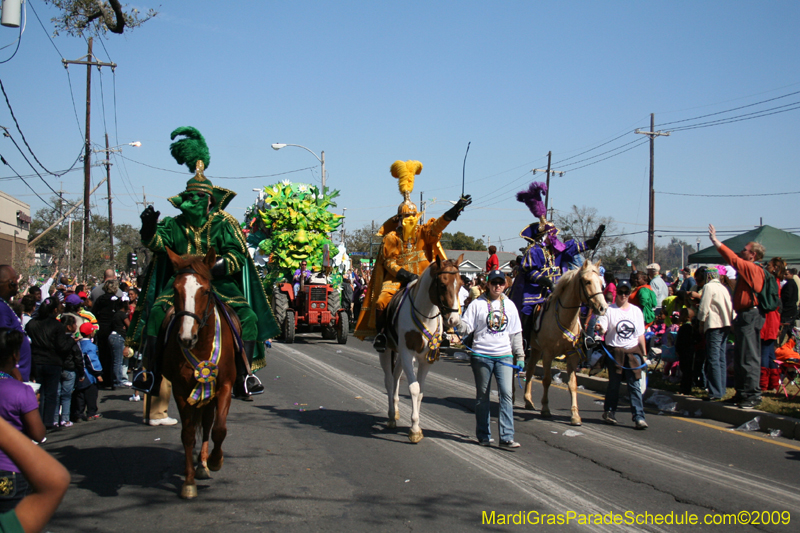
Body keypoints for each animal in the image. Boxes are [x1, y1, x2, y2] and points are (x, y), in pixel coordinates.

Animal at [162, 247, 238, 496]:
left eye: (205, 291)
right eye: (175, 289)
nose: (187, 338)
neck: (202, 347)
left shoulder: (225, 386)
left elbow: (219, 429)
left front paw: (215, 461)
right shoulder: (180, 388)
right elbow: (187, 435)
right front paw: (188, 483)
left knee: (207, 424)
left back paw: (204, 465)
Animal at [380, 254, 462, 440]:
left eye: (461, 284)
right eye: (442, 284)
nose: (454, 320)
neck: (425, 314)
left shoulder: (426, 358)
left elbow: (421, 392)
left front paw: (415, 425)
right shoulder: (407, 353)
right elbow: (414, 388)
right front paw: (415, 429)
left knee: (396, 377)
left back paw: (395, 411)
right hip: (387, 350)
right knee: (389, 380)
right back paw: (391, 416)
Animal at [520, 260, 608, 426]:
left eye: (601, 284)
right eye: (587, 282)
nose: (603, 308)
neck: (564, 317)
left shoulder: (572, 354)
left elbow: (572, 384)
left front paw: (575, 416)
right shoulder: (548, 354)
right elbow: (547, 380)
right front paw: (545, 409)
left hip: (535, 349)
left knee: (529, 370)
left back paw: (528, 401)